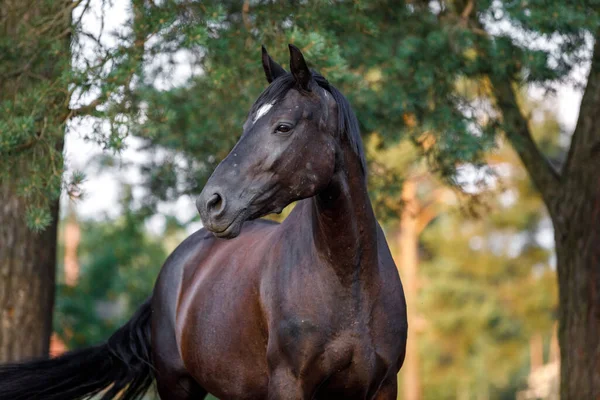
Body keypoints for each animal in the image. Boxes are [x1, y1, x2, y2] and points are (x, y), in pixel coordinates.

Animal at [0, 44, 408, 400]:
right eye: (246, 125)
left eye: (284, 126)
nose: (210, 203)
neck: (348, 281)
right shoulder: (289, 385)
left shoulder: (383, 387)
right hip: (178, 386)